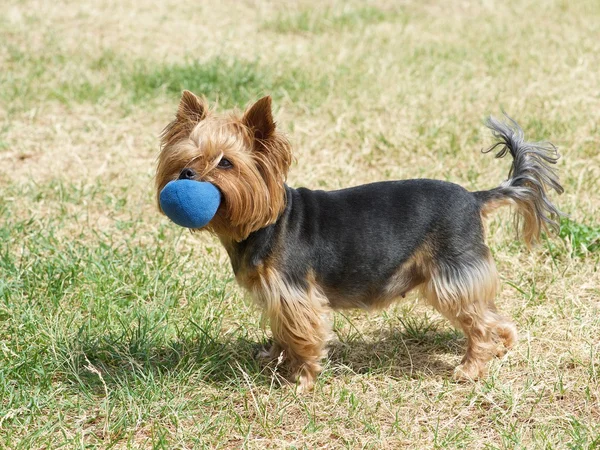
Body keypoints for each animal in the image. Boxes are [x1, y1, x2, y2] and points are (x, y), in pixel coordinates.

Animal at [155, 91, 564, 390]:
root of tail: (476, 198)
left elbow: (303, 335)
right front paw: (273, 359)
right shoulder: (278, 297)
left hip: (450, 276)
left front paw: (299, 380)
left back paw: (471, 369)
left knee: (476, 320)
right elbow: (281, 331)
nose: (186, 175)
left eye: (225, 163)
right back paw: (503, 344)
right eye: (185, 157)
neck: (267, 223)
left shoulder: (296, 295)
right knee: (491, 312)